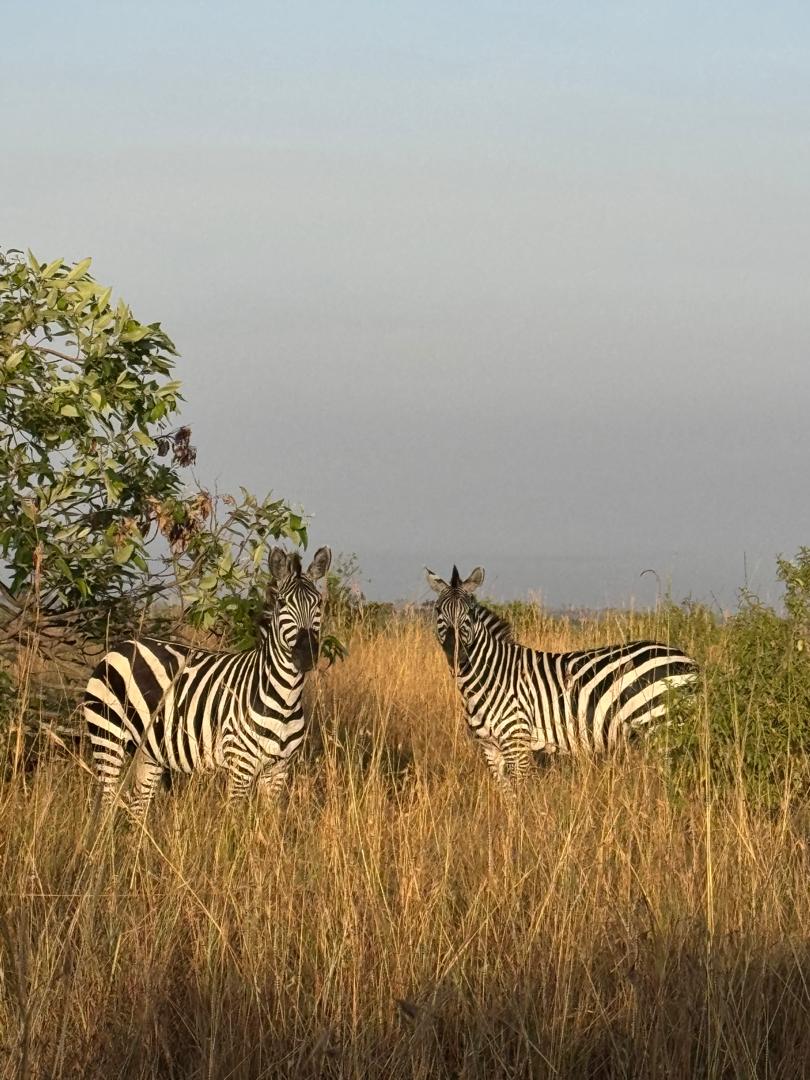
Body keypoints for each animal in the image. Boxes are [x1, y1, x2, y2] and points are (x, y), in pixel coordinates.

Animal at [84, 545, 331, 817]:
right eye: (282, 603)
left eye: (319, 603)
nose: (306, 655)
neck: (285, 697)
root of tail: (122, 646)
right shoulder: (241, 765)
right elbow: (234, 821)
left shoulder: (278, 768)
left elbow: (270, 820)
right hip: (108, 735)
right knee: (108, 803)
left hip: (149, 752)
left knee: (139, 808)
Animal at [425, 564, 698, 789]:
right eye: (438, 611)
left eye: (469, 614)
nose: (457, 657)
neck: (489, 677)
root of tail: (687, 659)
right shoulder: (490, 747)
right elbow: (506, 795)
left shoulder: (517, 740)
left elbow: (520, 793)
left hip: (661, 726)